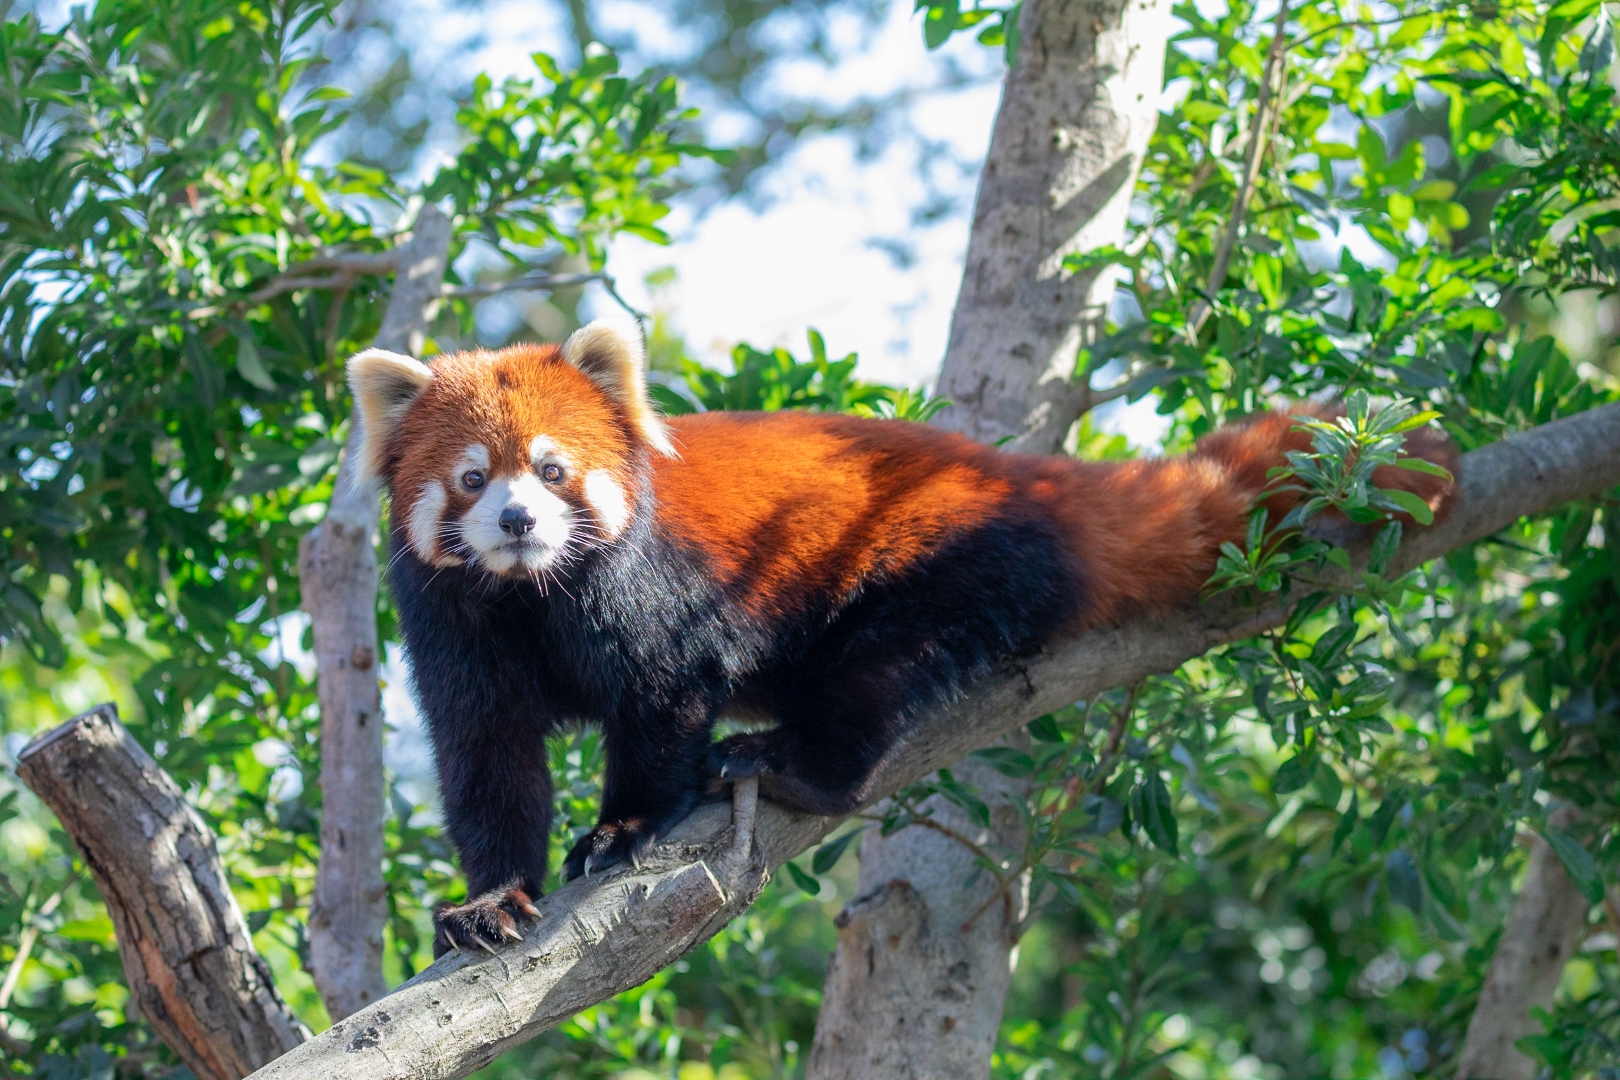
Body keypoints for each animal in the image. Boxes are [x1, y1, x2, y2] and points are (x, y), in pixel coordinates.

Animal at [348, 317, 1464, 952]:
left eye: (551, 469)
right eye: (473, 479)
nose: (517, 521)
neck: (534, 593)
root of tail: (1026, 476)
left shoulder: (654, 593)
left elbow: (665, 702)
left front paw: (625, 828)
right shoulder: (454, 624)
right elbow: (487, 760)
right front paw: (490, 900)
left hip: (943, 556)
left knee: (877, 672)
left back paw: (798, 764)